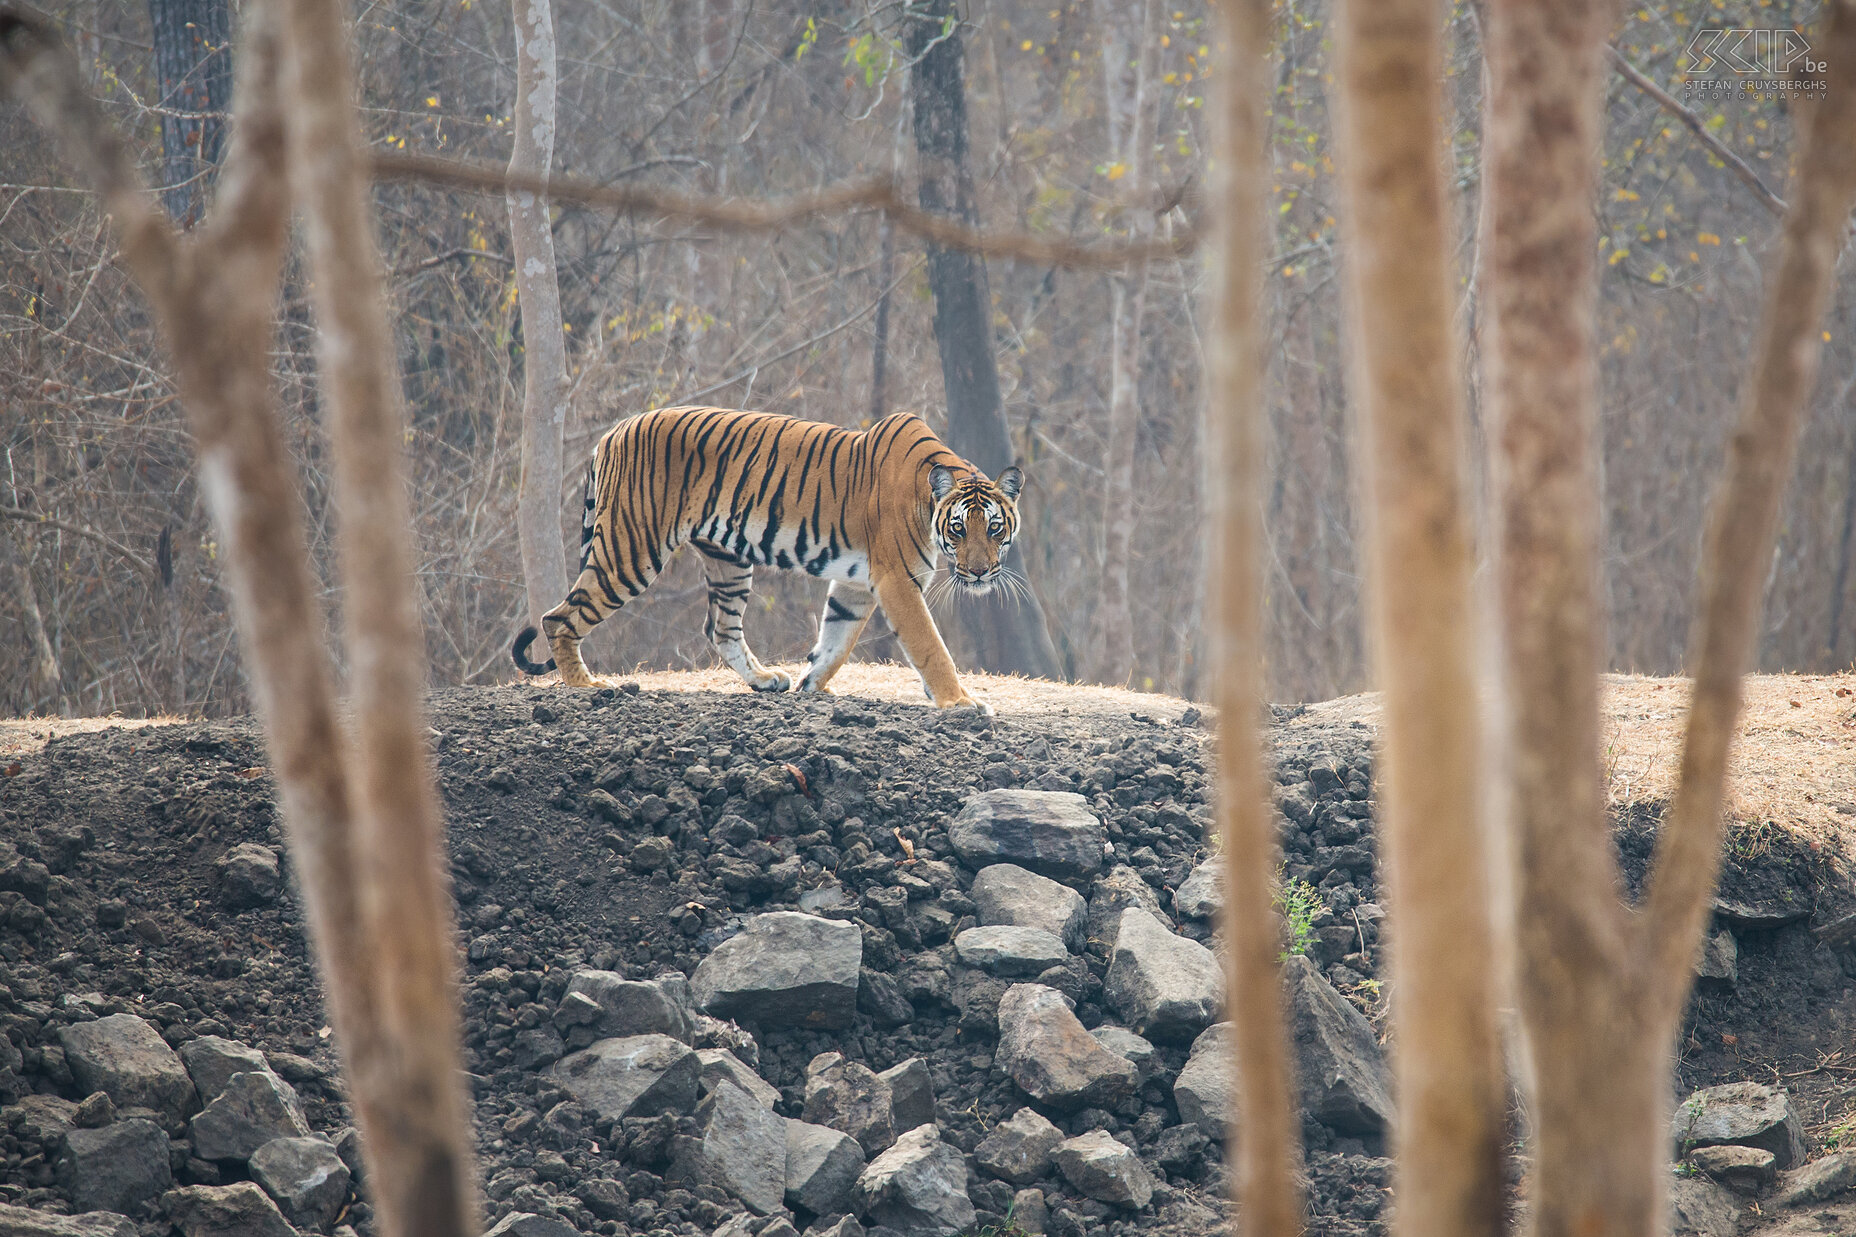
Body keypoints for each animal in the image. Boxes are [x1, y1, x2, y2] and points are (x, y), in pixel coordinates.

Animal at [512, 404, 1031, 709]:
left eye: (995, 528)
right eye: (959, 529)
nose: (979, 572)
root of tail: (612, 432)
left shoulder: (857, 585)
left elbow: (836, 639)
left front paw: (811, 685)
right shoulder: (897, 582)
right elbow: (929, 646)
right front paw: (959, 702)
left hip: (727, 560)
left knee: (721, 628)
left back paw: (765, 680)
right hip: (631, 548)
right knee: (559, 617)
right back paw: (587, 687)